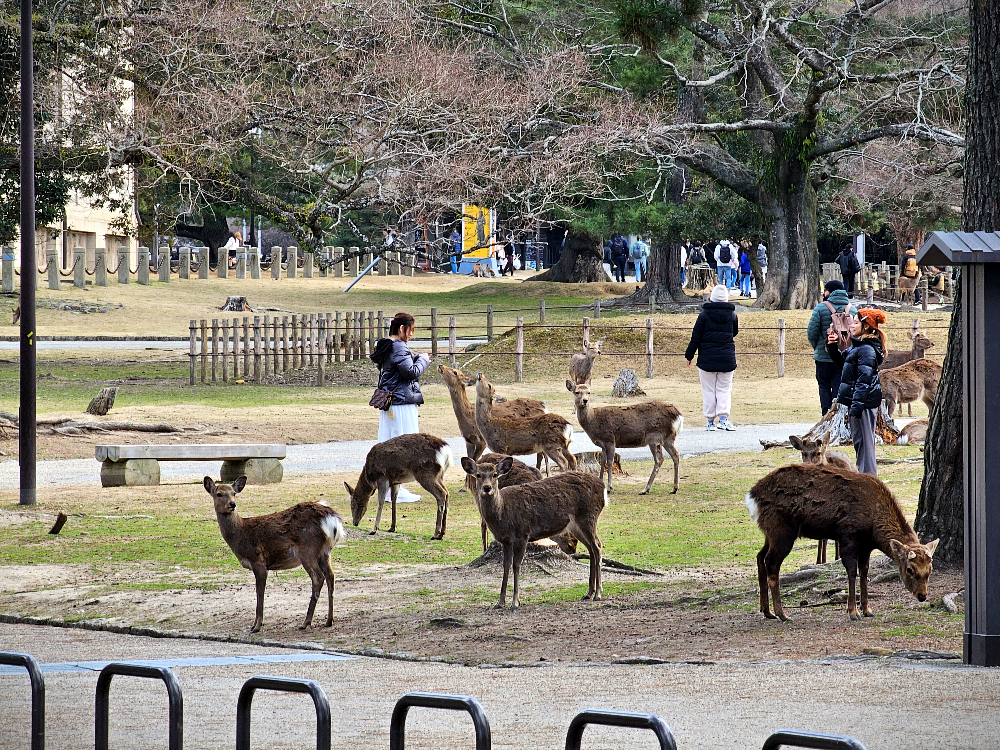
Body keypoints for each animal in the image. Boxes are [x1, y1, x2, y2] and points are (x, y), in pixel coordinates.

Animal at [202, 476, 344, 636]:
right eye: (219, 494)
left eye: (234, 493)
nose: (232, 504)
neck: (240, 534)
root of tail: (332, 520)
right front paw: (254, 624)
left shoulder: (258, 560)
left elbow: (260, 592)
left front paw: (257, 626)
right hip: (324, 552)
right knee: (331, 576)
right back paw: (329, 620)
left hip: (307, 549)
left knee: (318, 577)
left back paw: (305, 622)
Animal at [458, 456, 600, 608]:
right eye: (478, 475)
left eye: (495, 475)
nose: (486, 487)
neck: (502, 512)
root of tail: (602, 487)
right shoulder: (505, 540)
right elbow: (505, 565)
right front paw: (500, 602)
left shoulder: (522, 534)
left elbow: (516, 565)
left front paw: (515, 602)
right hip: (576, 525)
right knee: (591, 549)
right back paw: (588, 593)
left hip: (588, 517)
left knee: (598, 547)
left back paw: (598, 594)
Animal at [748, 468, 940, 624]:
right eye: (909, 569)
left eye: (930, 570)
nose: (922, 596)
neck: (873, 529)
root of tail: (752, 496)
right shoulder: (848, 535)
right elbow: (852, 572)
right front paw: (853, 612)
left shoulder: (866, 546)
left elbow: (864, 572)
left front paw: (867, 609)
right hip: (781, 531)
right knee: (771, 563)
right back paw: (782, 614)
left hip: (769, 533)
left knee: (759, 557)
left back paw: (766, 611)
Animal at [788, 434, 852, 564]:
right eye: (802, 453)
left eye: (817, 453)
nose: (807, 466)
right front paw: (820, 560)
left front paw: (832, 558)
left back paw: (837, 556)